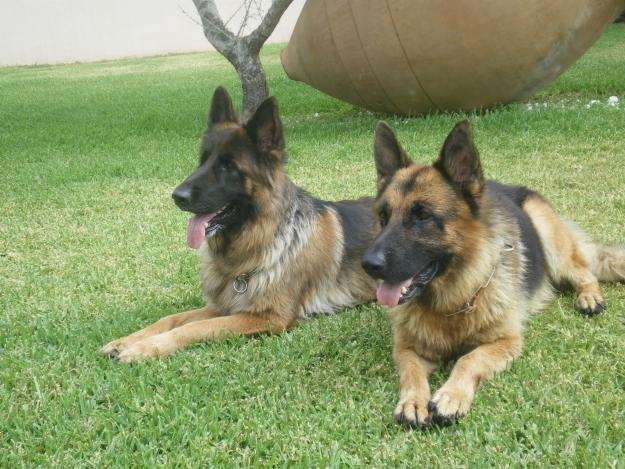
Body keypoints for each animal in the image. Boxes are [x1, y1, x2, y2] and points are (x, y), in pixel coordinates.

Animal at [101, 88, 376, 362]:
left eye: (229, 166)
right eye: (202, 160)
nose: (177, 196)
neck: (258, 241)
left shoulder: (268, 317)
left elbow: (195, 327)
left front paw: (146, 348)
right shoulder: (222, 306)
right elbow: (171, 318)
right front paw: (127, 340)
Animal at [360, 119, 624, 424]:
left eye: (422, 216)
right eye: (383, 217)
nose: (368, 264)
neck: (451, 303)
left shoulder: (507, 342)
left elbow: (468, 359)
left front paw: (451, 396)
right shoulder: (406, 348)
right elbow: (412, 372)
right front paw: (413, 401)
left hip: (548, 236)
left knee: (584, 271)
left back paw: (589, 296)